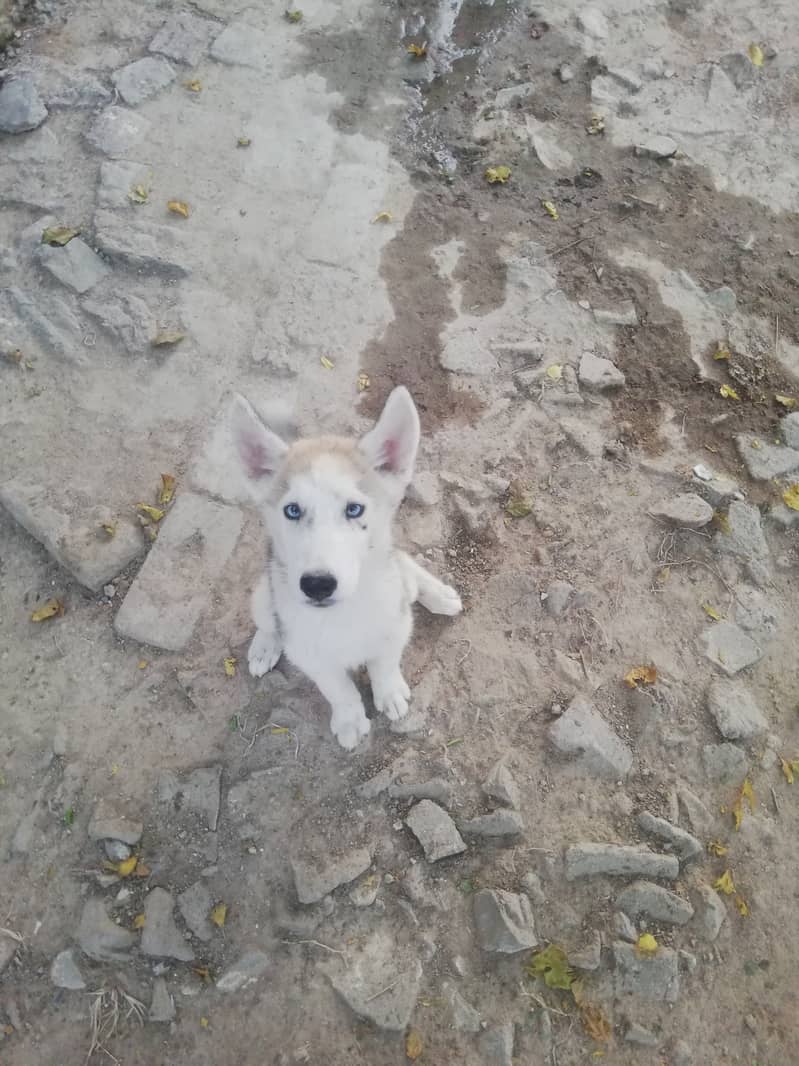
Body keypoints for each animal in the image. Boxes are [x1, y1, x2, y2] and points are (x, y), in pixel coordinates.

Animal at [230, 385, 462, 750]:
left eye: (354, 509)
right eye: (292, 510)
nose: (318, 584)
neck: (344, 613)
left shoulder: (396, 626)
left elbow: (385, 663)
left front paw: (389, 692)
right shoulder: (311, 656)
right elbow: (338, 689)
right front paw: (350, 720)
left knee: (404, 562)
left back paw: (438, 594)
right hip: (263, 596)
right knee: (268, 622)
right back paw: (265, 647)